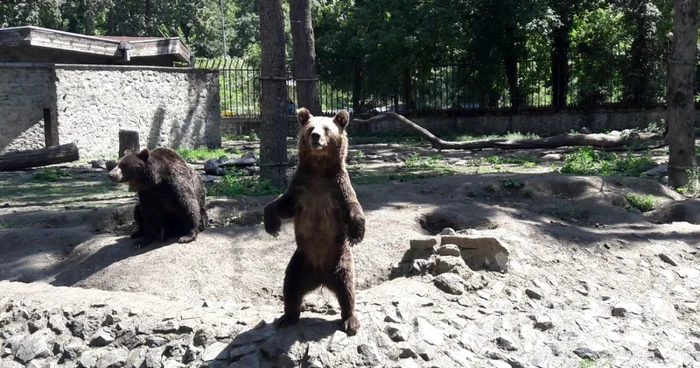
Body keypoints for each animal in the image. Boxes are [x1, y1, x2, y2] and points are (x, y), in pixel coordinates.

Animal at [262, 107, 366, 336]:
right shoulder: (301, 188)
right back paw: (287, 317)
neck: (319, 170)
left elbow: (352, 207)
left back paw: (350, 321)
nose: (316, 136)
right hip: (300, 262)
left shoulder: (337, 188)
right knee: (291, 287)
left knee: (347, 288)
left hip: (340, 259)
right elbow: (283, 204)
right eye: (310, 128)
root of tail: (321, 278)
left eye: (326, 128)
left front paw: (357, 233)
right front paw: (272, 225)